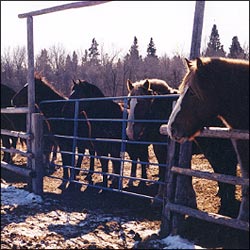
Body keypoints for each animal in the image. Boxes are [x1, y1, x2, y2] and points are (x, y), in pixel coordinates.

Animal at [126, 77, 239, 217]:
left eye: (142, 103)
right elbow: (164, 172)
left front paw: (190, 200)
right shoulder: (160, 150)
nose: (130, 132)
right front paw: (160, 197)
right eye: (129, 104)